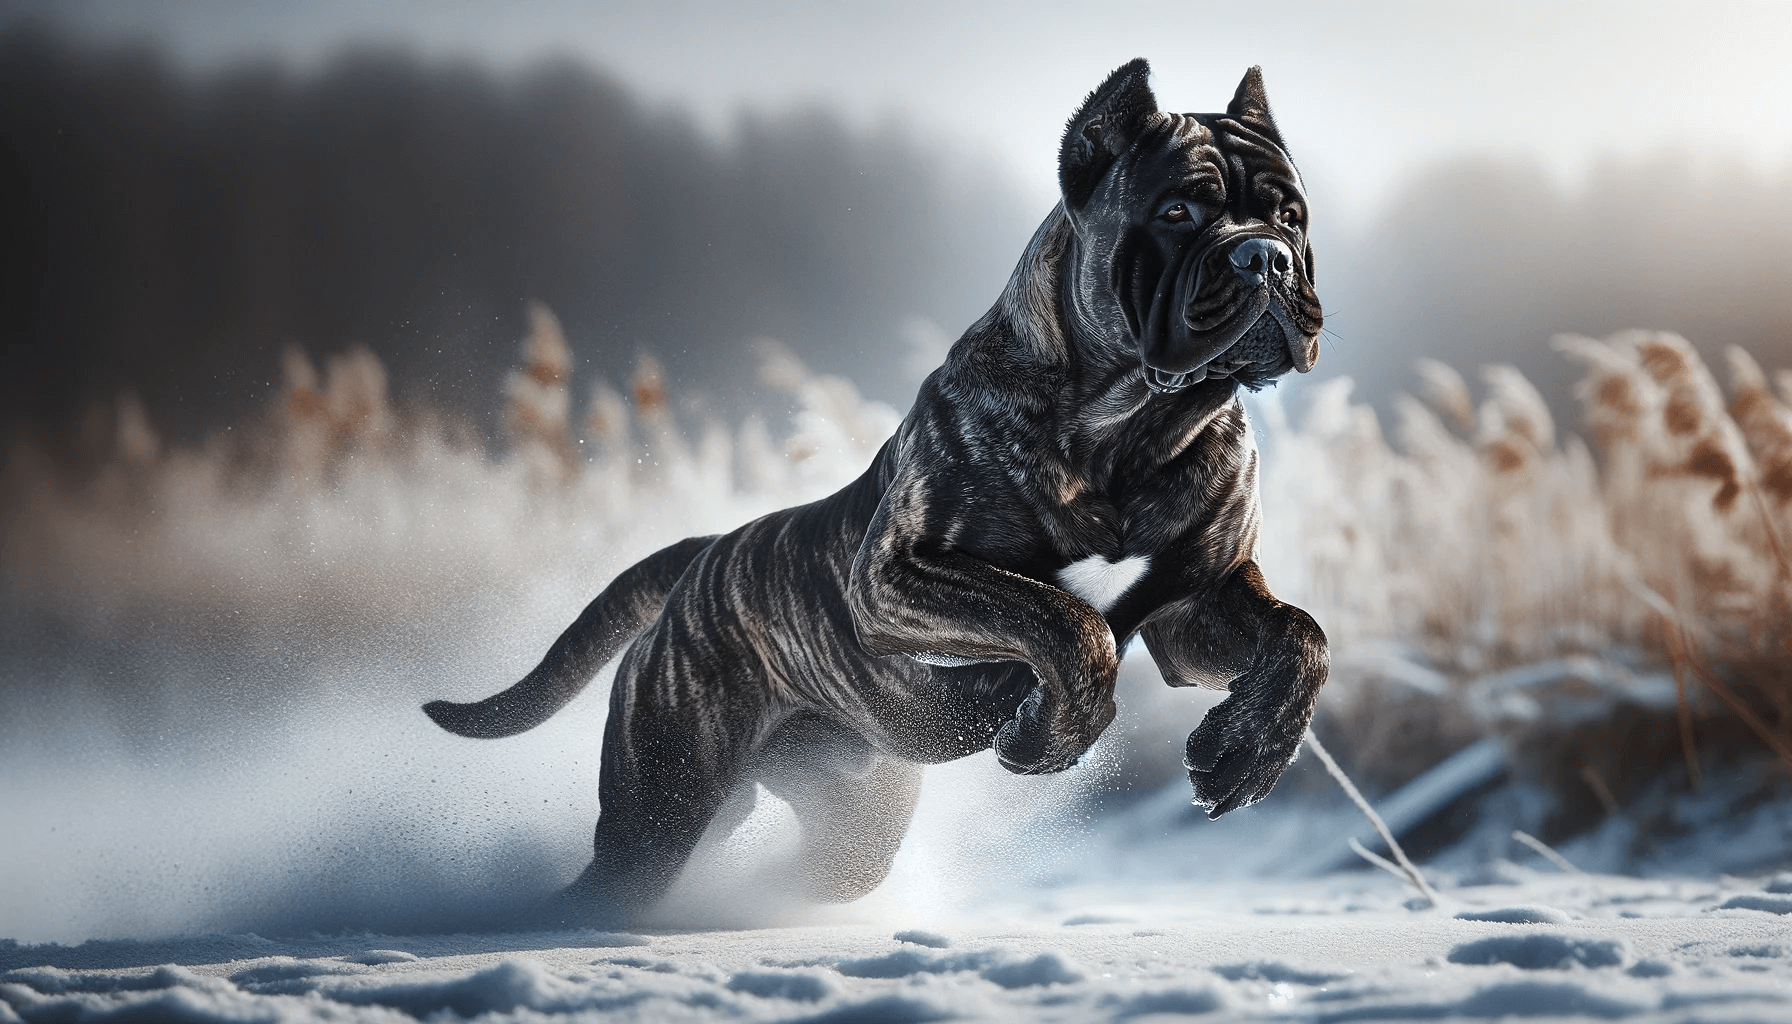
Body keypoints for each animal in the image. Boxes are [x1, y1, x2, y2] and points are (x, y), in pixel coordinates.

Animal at [426, 62, 1326, 932]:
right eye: (1176, 210)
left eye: (1291, 216)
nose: (1265, 256)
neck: (1134, 427)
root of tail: (708, 554)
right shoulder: (898, 576)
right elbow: (1068, 623)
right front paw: (1049, 737)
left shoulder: (1196, 602)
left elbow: (1299, 639)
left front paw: (1242, 757)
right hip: (664, 796)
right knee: (619, 875)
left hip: (848, 808)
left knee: (824, 865)